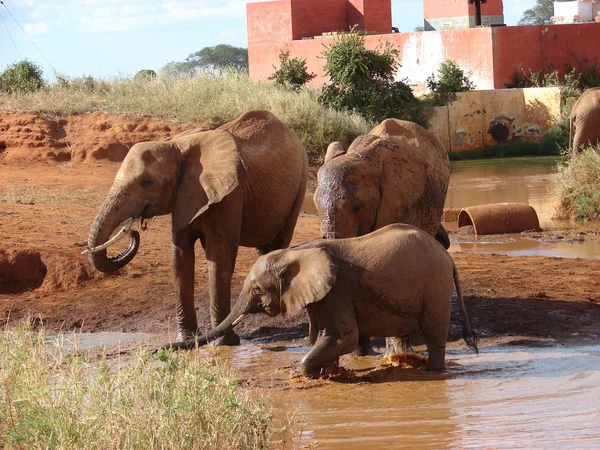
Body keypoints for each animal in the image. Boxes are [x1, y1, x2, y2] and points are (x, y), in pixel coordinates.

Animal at [85, 109, 310, 344]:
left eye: (147, 183)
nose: (133, 231)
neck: (176, 146)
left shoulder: (230, 195)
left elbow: (219, 258)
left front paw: (223, 343)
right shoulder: (183, 197)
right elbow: (180, 257)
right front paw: (185, 339)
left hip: (299, 185)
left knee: (281, 240)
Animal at [163, 224, 478, 376]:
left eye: (257, 291)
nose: (158, 351)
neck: (294, 252)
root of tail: (448, 257)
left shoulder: (337, 290)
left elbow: (345, 337)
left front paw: (305, 372)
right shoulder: (321, 295)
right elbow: (322, 336)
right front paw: (329, 372)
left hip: (434, 285)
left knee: (434, 332)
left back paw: (433, 372)